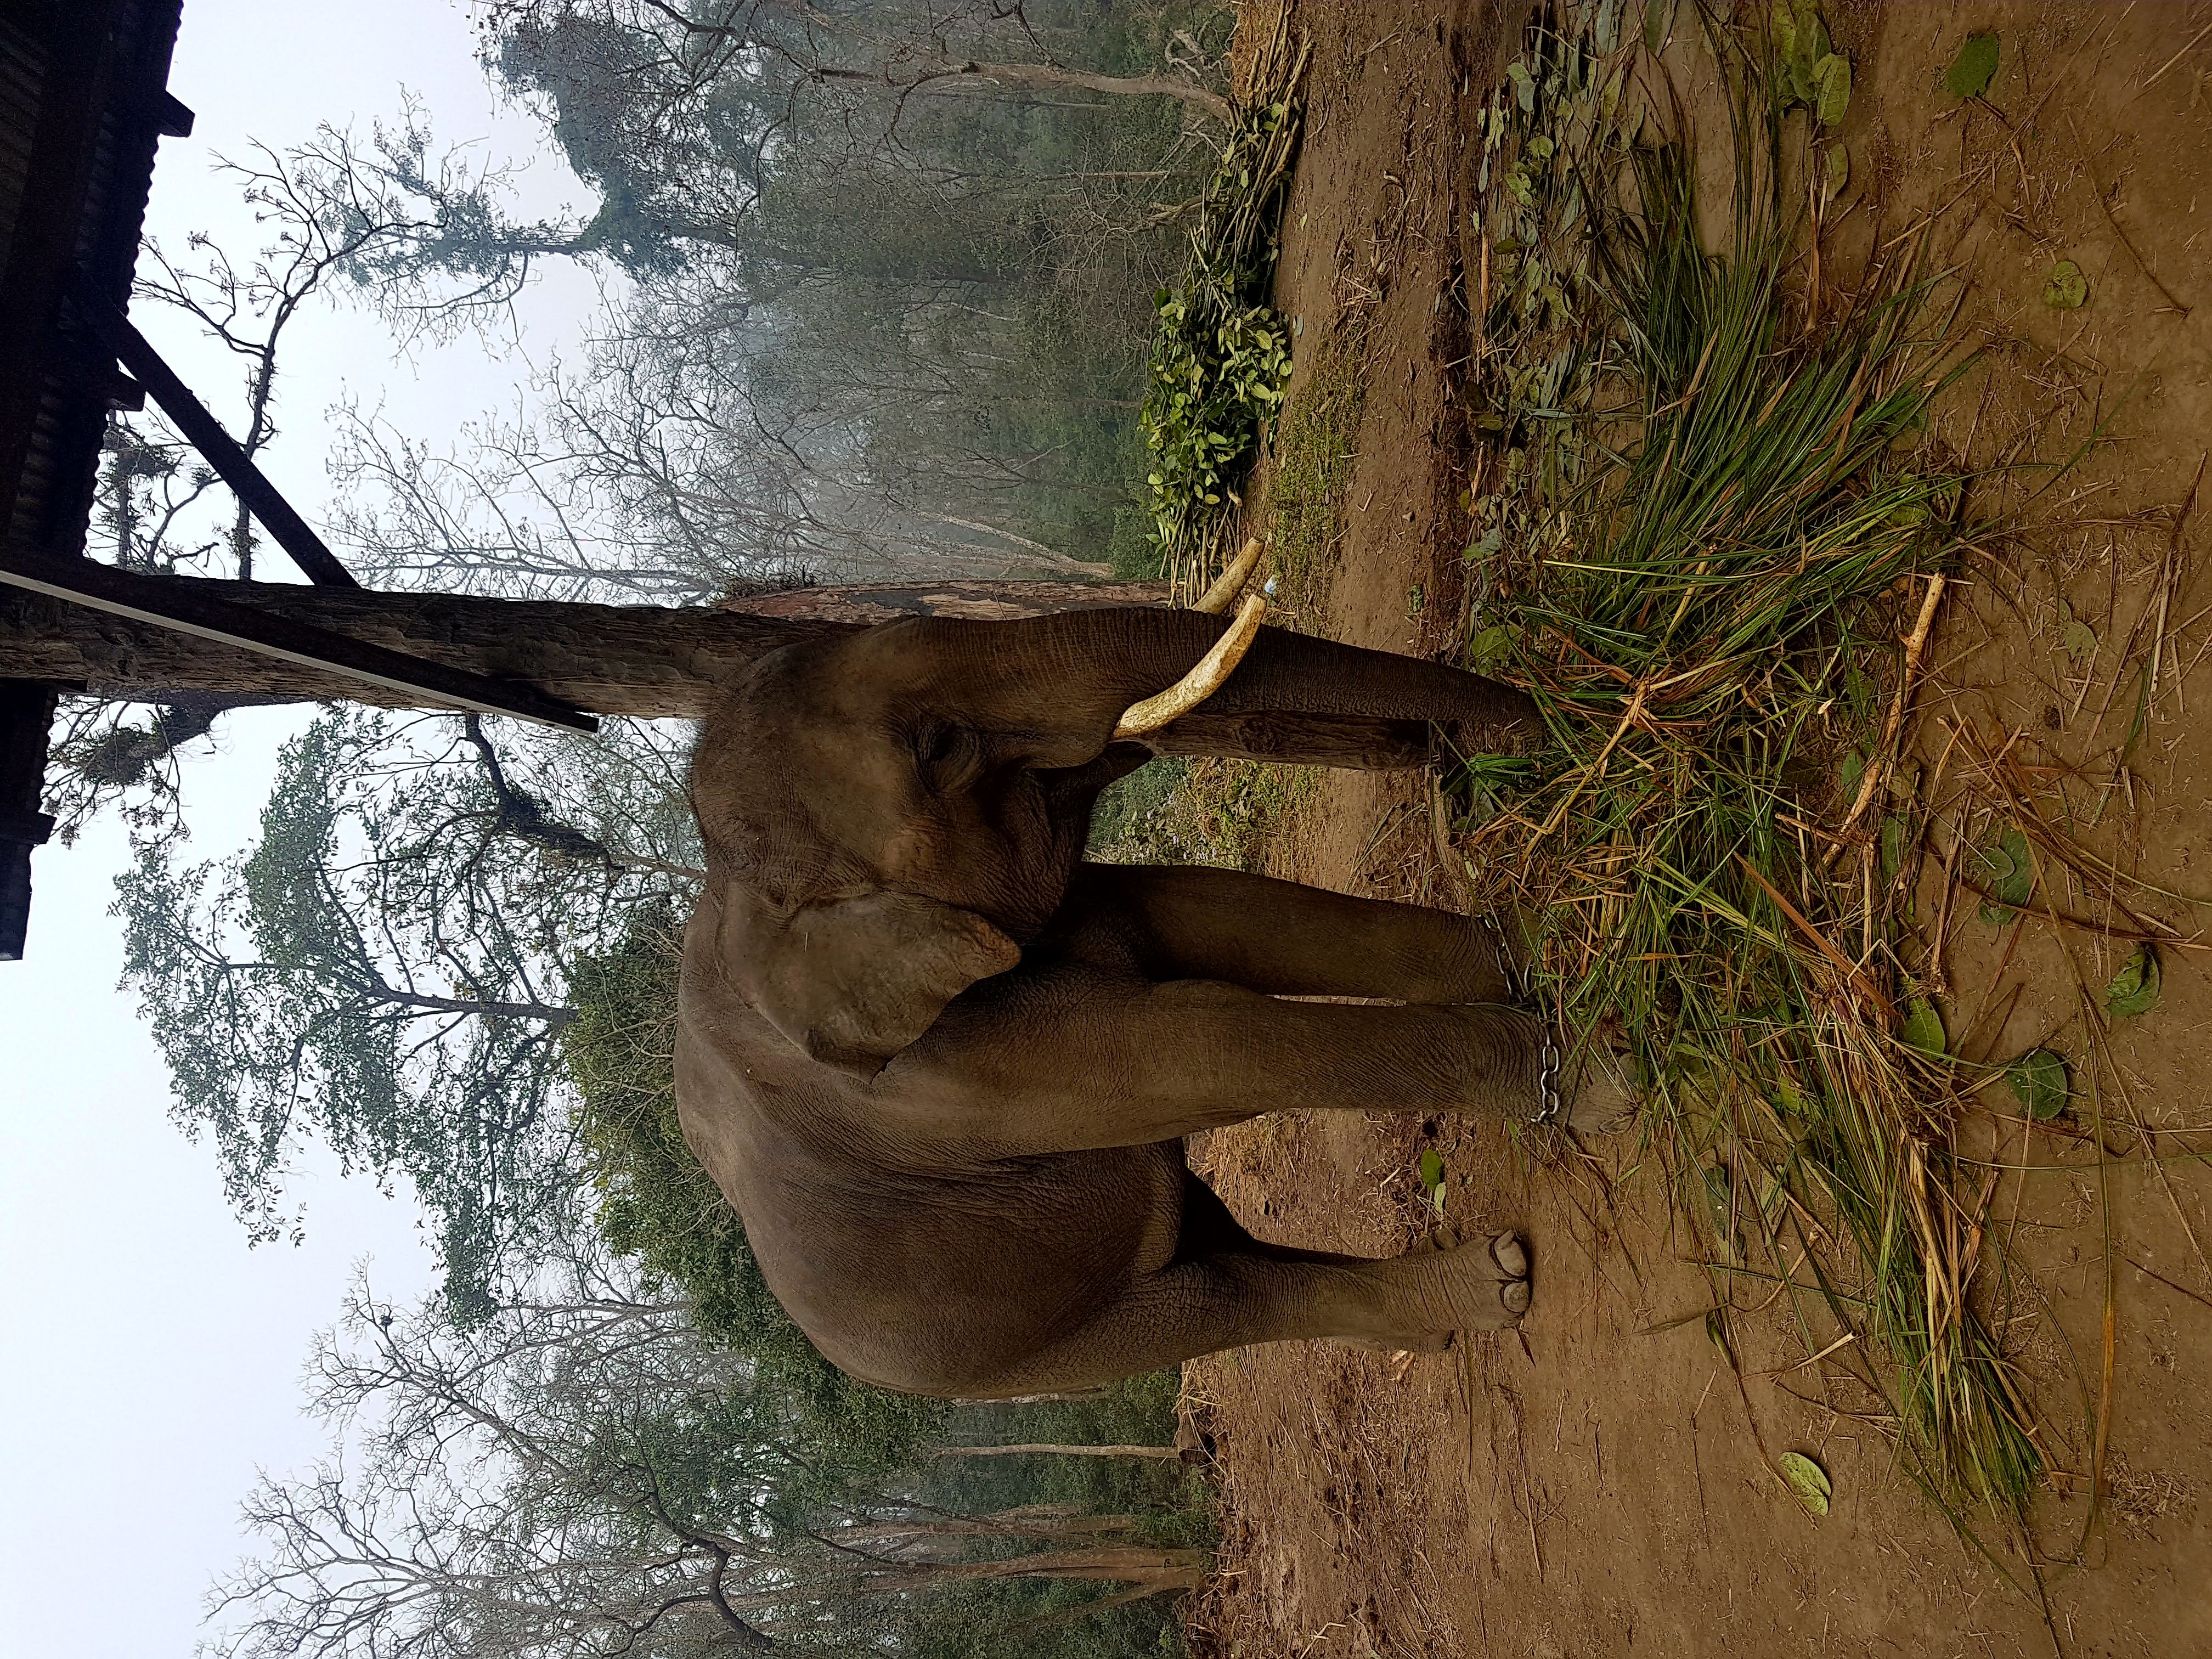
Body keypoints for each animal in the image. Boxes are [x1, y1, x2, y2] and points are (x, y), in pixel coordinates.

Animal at [674, 596, 1631, 1399]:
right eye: (938, 748)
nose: (1563, 721)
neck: (730, 892)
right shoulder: (940, 1078)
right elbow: (1206, 1050)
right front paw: (1593, 1084)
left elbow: (1217, 911)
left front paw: (1529, 954)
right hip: (1026, 1353)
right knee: (1222, 1300)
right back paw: (1497, 1285)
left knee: (1218, 1245)